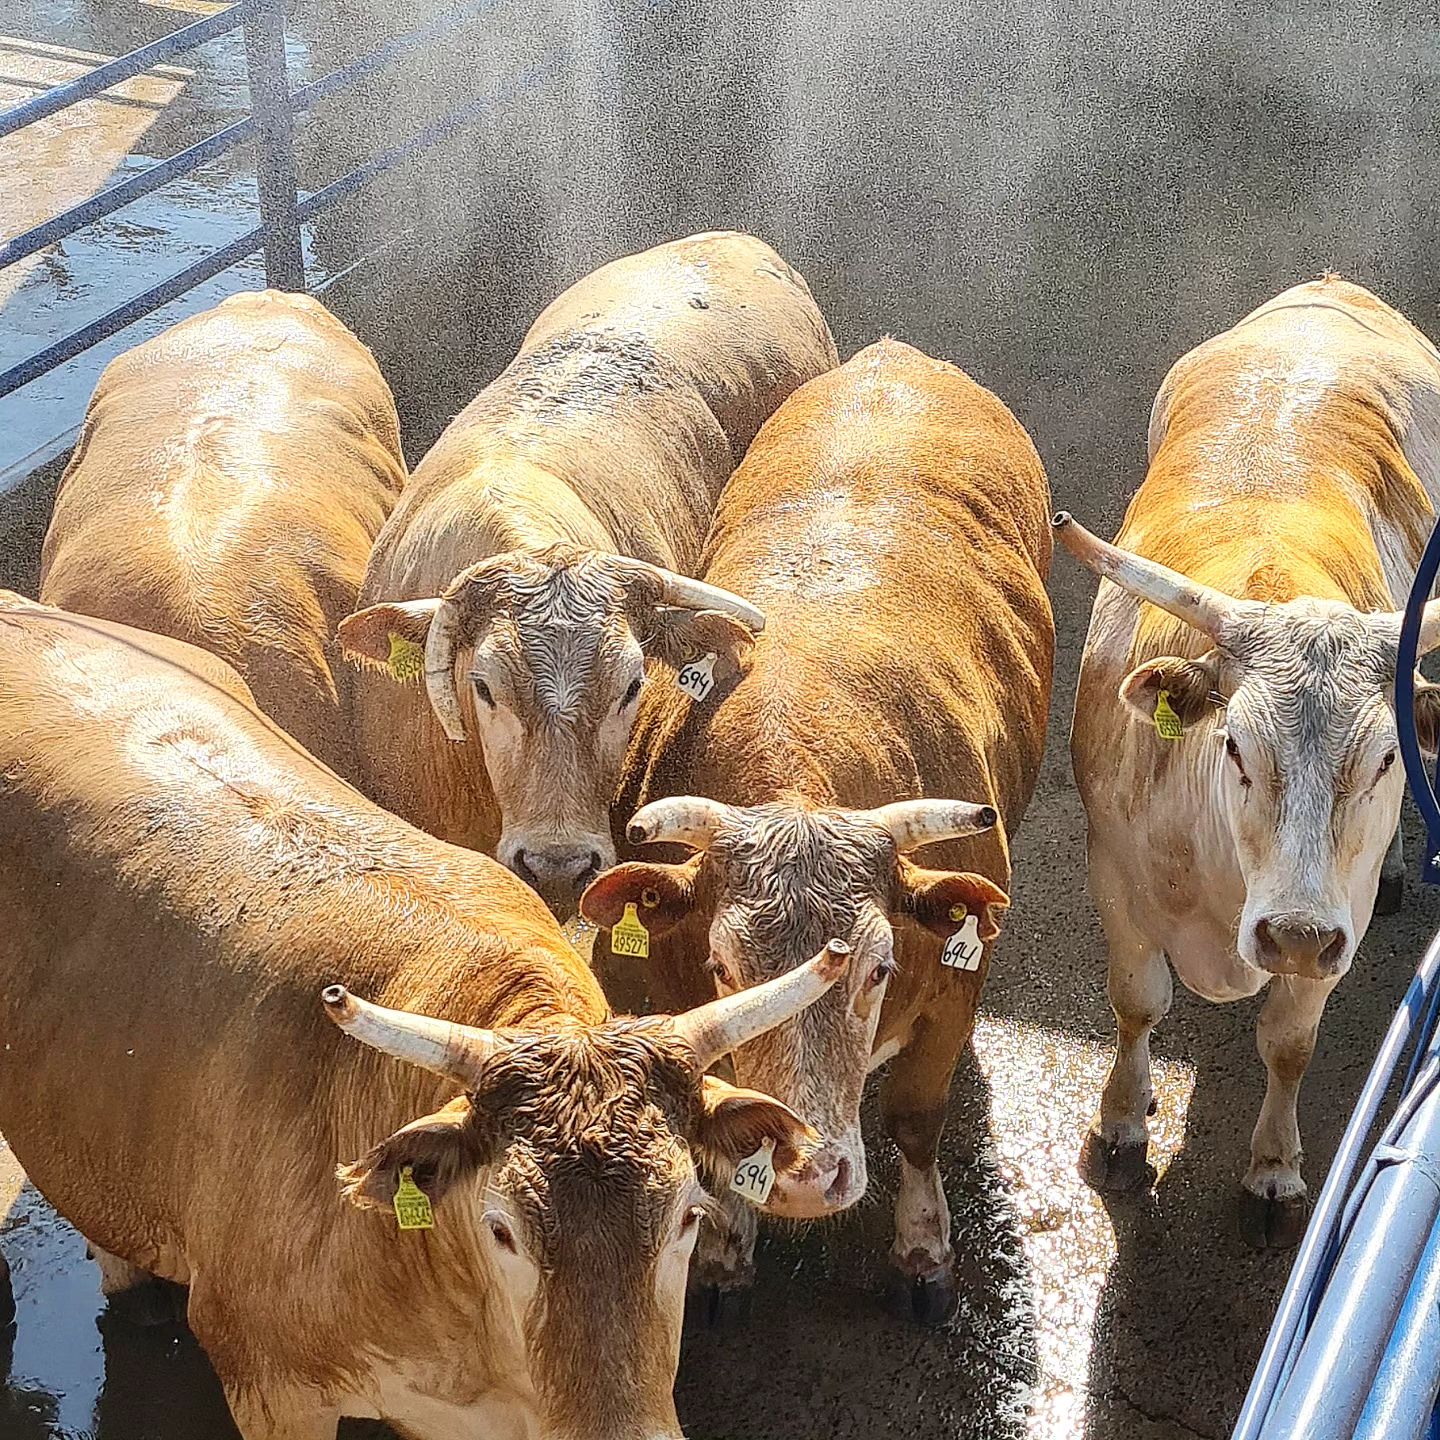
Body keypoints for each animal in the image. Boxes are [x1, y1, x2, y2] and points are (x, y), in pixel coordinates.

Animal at [578, 339, 1054, 1324]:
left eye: (879, 967)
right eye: (723, 968)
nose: (803, 1176)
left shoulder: (955, 991)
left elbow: (916, 1119)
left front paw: (923, 1251)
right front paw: (724, 1252)